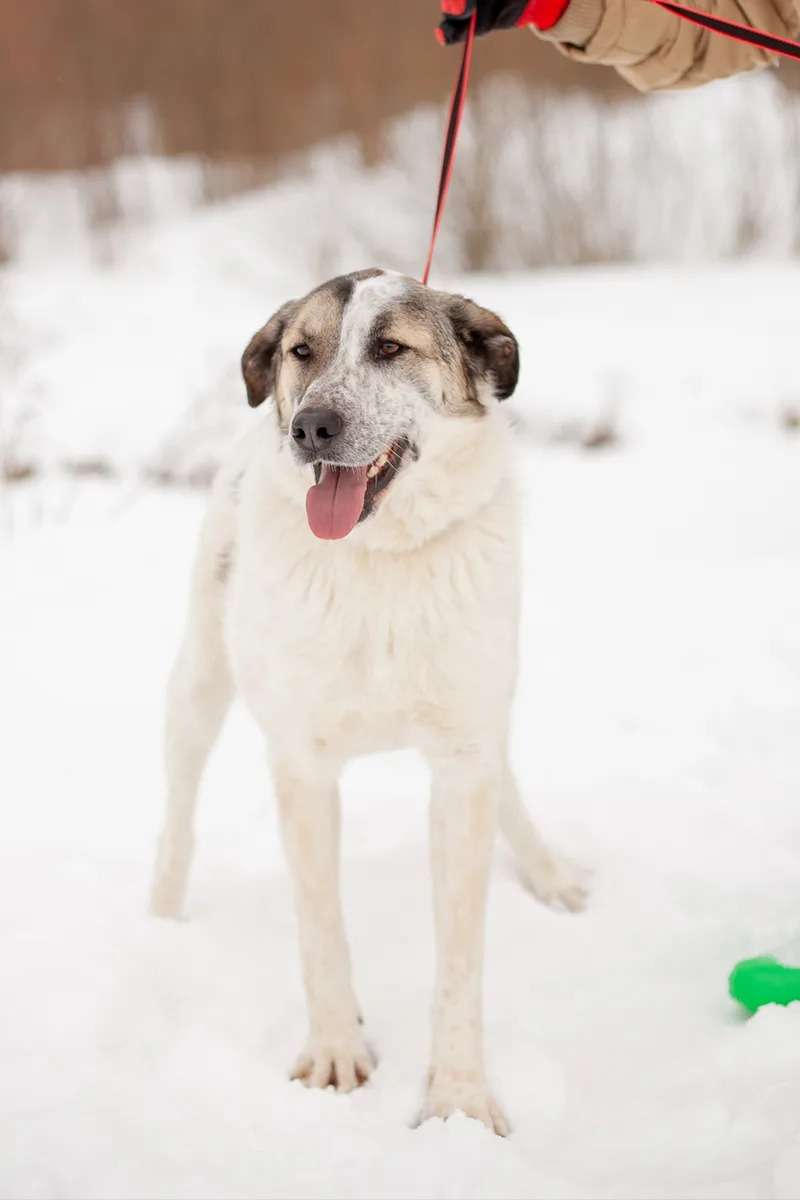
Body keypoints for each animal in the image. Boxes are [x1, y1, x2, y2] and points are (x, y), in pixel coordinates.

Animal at [151, 265, 587, 1132]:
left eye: (390, 349)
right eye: (301, 351)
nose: (311, 428)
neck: (381, 562)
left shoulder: (463, 760)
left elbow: (460, 960)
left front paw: (457, 1100)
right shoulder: (304, 768)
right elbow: (322, 932)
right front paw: (335, 1053)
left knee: (507, 782)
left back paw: (546, 870)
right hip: (203, 679)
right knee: (181, 798)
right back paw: (162, 917)